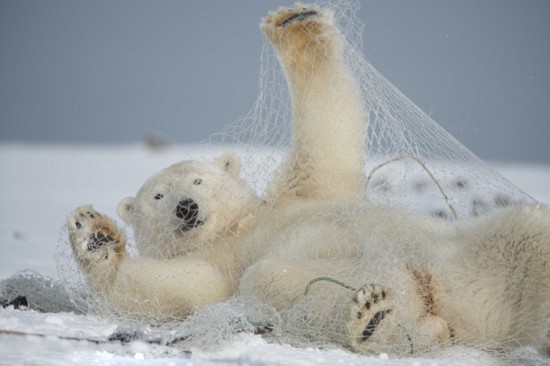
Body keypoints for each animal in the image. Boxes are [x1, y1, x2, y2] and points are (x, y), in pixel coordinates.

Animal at [67, 4, 548, 356]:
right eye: (159, 196)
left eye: (199, 181)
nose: (187, 208)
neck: (237, 230)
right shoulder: (215, 266)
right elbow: (172, 290)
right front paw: (94, 236)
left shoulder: (301, 194)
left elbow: (327, 138)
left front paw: (292, 23)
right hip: (469, 284)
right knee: (276, 282)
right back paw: (378, 321)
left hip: (465, 255)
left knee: (528, 236)